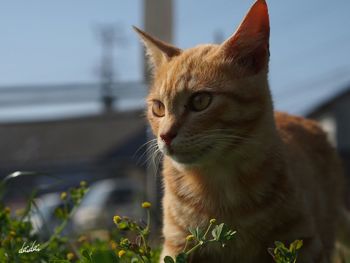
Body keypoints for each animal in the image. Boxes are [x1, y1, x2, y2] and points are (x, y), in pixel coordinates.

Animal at [133, 1, 348, 262]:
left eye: (200, 101)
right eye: (158, 108)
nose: (165, 135)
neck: (220, 189)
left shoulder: (302, 243)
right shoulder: (176, 247)